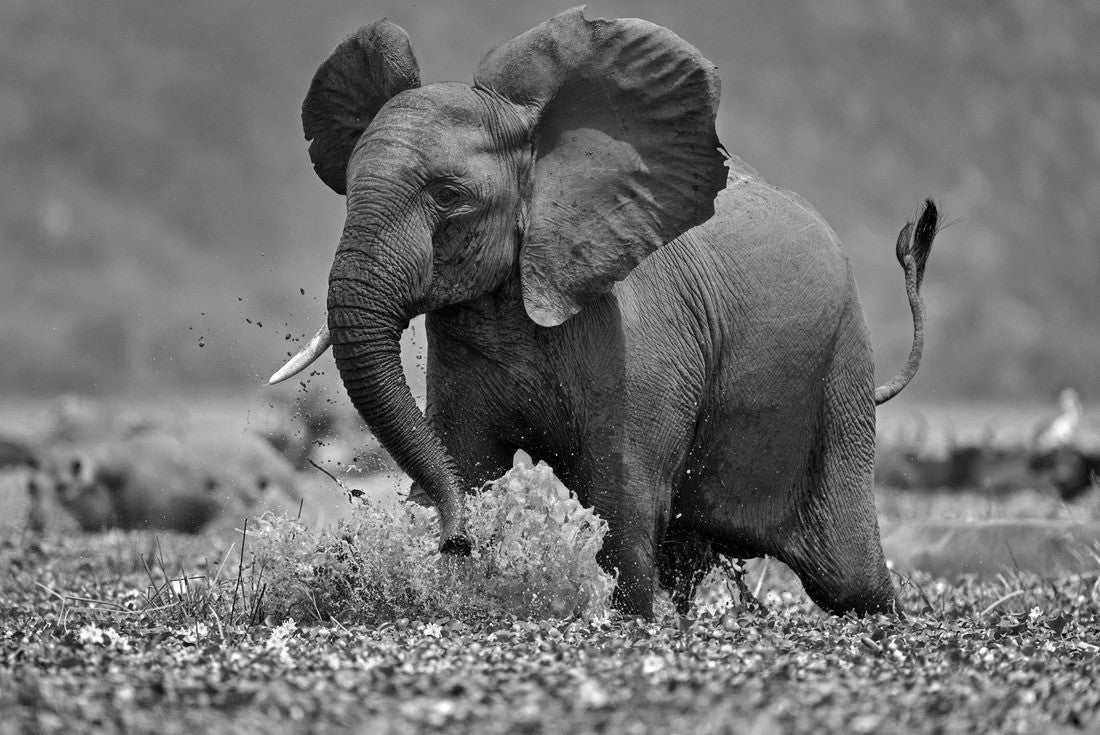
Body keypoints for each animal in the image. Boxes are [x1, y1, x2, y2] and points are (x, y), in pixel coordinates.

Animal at [269, 9, 943, 617]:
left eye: (449, 196)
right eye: (349, 185)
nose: (458, 542)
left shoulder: (640, 336)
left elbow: (623, 496)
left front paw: (630, 620)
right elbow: (463, 458)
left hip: (840, 373)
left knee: (848, 578)